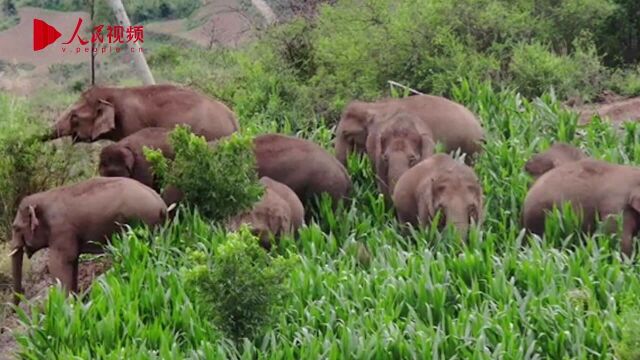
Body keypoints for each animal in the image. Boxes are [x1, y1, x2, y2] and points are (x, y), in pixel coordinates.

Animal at [9, 176, 166, 302]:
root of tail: (161, 205)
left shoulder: (62, 231)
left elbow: (58, 265)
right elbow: (73, 262)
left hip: (142, 223)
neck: (43, 198)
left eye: (16, 228)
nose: (15, 306)